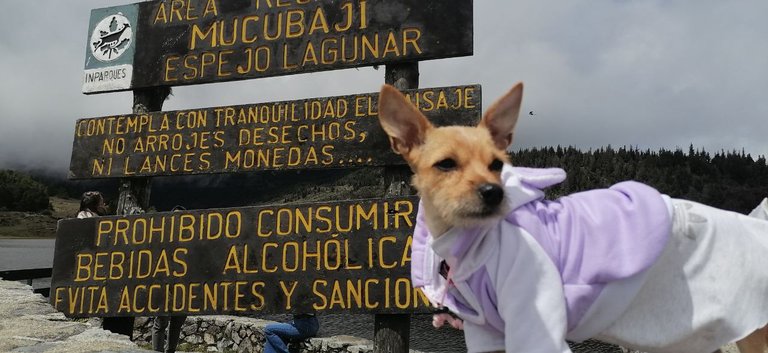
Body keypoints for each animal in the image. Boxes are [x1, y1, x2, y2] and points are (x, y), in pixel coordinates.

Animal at [380, 81, 768, 350]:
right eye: (445, 164)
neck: (469, 239)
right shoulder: (487, 334)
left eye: (497, 165)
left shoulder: (534, 322)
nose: (494, 192)